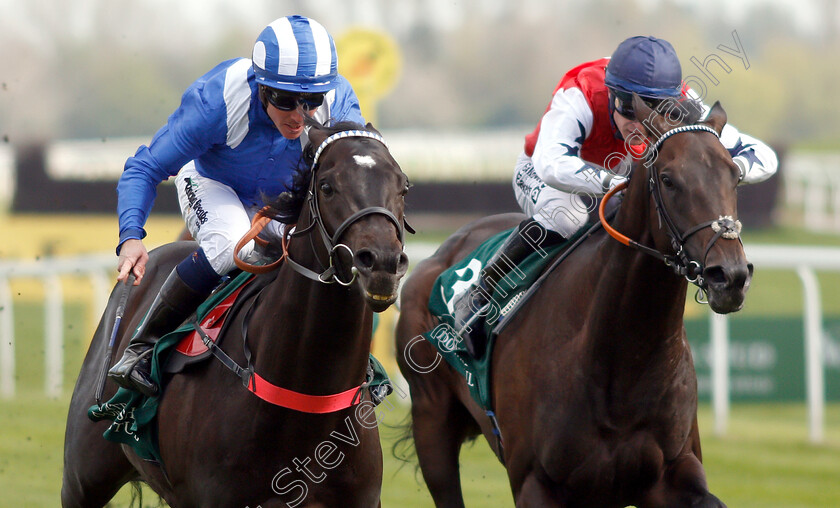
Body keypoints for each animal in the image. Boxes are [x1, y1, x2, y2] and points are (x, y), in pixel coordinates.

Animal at [61, 121, 410, 506]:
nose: (381, 263)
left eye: (403, 186)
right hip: (82, 479)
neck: (309, 403)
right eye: (327, 186)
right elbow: (148, 164)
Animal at [398, 97, 752, 506]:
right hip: (431, 420)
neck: (620, 365)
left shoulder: (671, 472)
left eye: (735, 176)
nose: (730, 276)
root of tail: (441, 253)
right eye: (668, 180)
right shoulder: (535, 483)